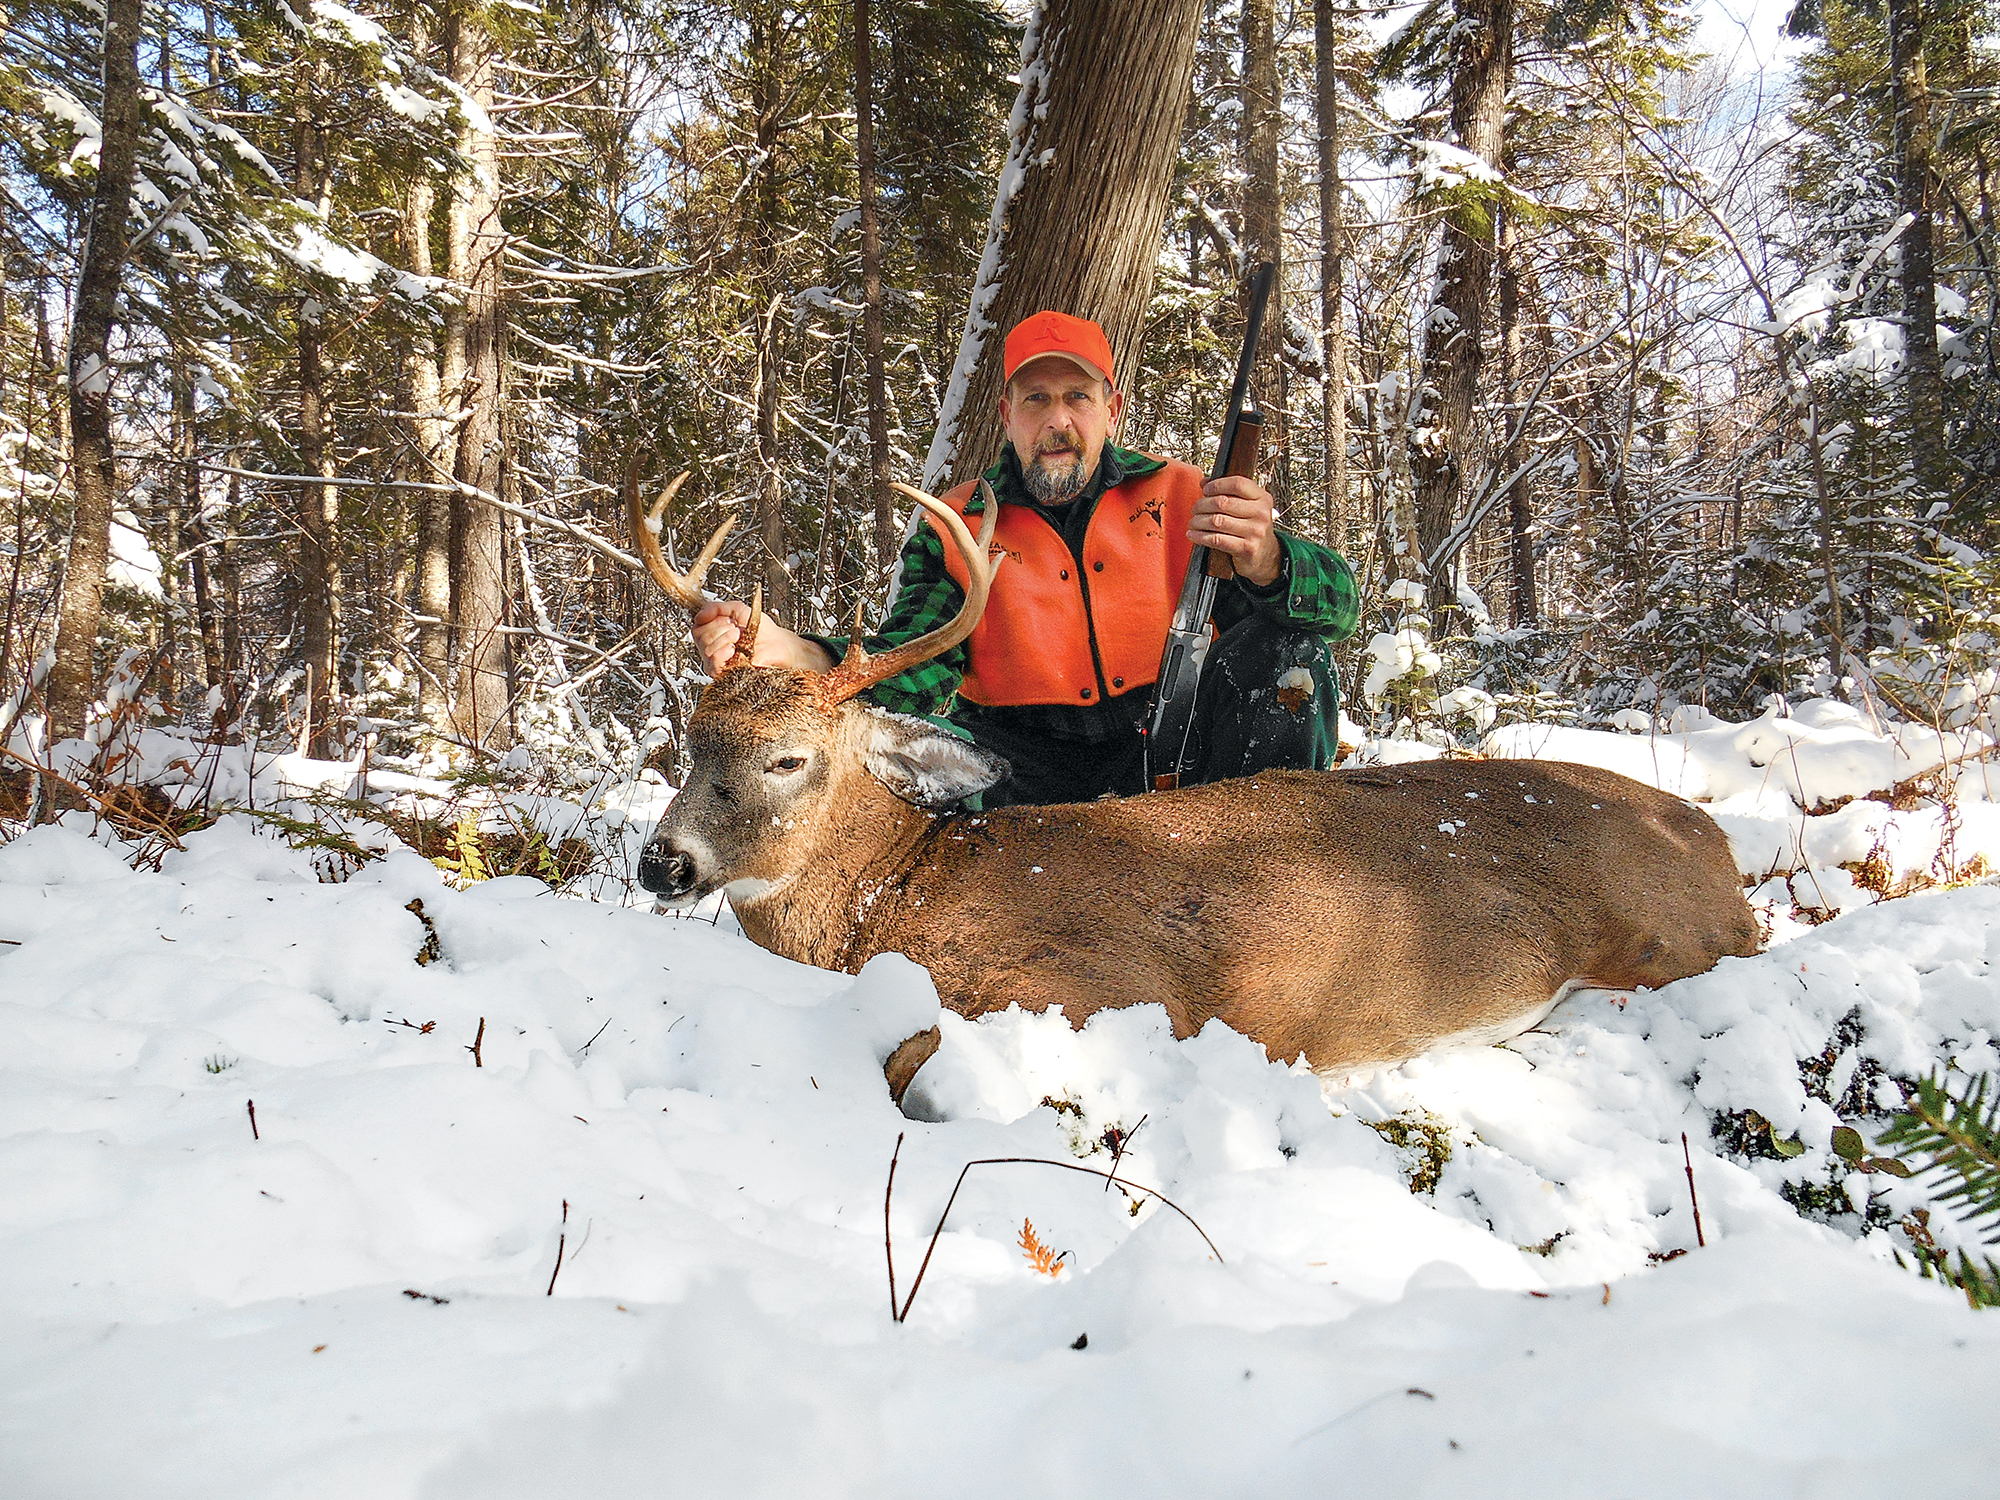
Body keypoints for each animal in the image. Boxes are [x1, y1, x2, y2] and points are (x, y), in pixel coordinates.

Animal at [624, 472, 1762, 1107]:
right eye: (691, 739)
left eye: (787, 758)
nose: (661, 861)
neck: (889, 903)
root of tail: (1712, 843)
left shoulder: (1106, 990)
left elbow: (907, 1061)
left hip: (1669, 939)